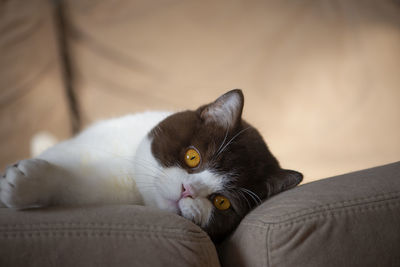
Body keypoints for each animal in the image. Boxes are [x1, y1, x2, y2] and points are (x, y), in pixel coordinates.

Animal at [0, 90, 300, 243]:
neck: (130, 174)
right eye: (193, 157)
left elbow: (73, 185)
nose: (187, 190)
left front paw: (23, 185)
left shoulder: (99, 191)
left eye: (222, 202)